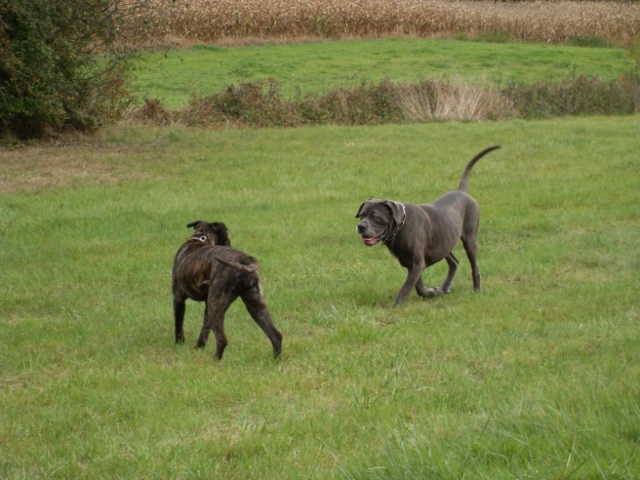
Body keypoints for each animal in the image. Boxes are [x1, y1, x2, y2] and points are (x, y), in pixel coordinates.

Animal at [171, 221, 282, 360]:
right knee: (275, 334)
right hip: (255, 304)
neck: (201, 239)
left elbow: (178, 324)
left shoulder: (178, 298)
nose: (230, 243)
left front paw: (179, 343)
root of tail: (245, 259)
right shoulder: (207, 305)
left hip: (216, 305)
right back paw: (275, 360)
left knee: (222, 339)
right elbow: (205, 329)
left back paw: (215, 361)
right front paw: (199, 347)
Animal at [356, 144, 500, 306]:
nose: (360, 227)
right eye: (362, 215)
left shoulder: (417, 264)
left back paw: (476, 289)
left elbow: (407, 288)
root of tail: (463, 192)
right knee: (454, 262)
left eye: (376, 216)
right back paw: (444, 288)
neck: (401, 227)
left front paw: (396, 305)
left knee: (474, 266)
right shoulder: (413, 265)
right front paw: (432, 292)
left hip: (470, 239)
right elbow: (419, 287)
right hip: (444, 242)